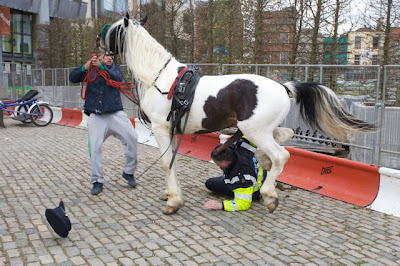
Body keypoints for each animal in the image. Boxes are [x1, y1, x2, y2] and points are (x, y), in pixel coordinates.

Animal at [104, 13, 376, 215]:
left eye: (111, 32)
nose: (100, 46)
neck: (160, 78)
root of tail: (283, 86)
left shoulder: (161, 128)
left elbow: (165, 162)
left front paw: (173, 202)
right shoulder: (171, 131)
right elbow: (171, 161)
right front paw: (170, 194)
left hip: (255, 131)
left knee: (281, 155)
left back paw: (269, 194)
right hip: (259, 130)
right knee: (283, 137)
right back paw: (264, 167)